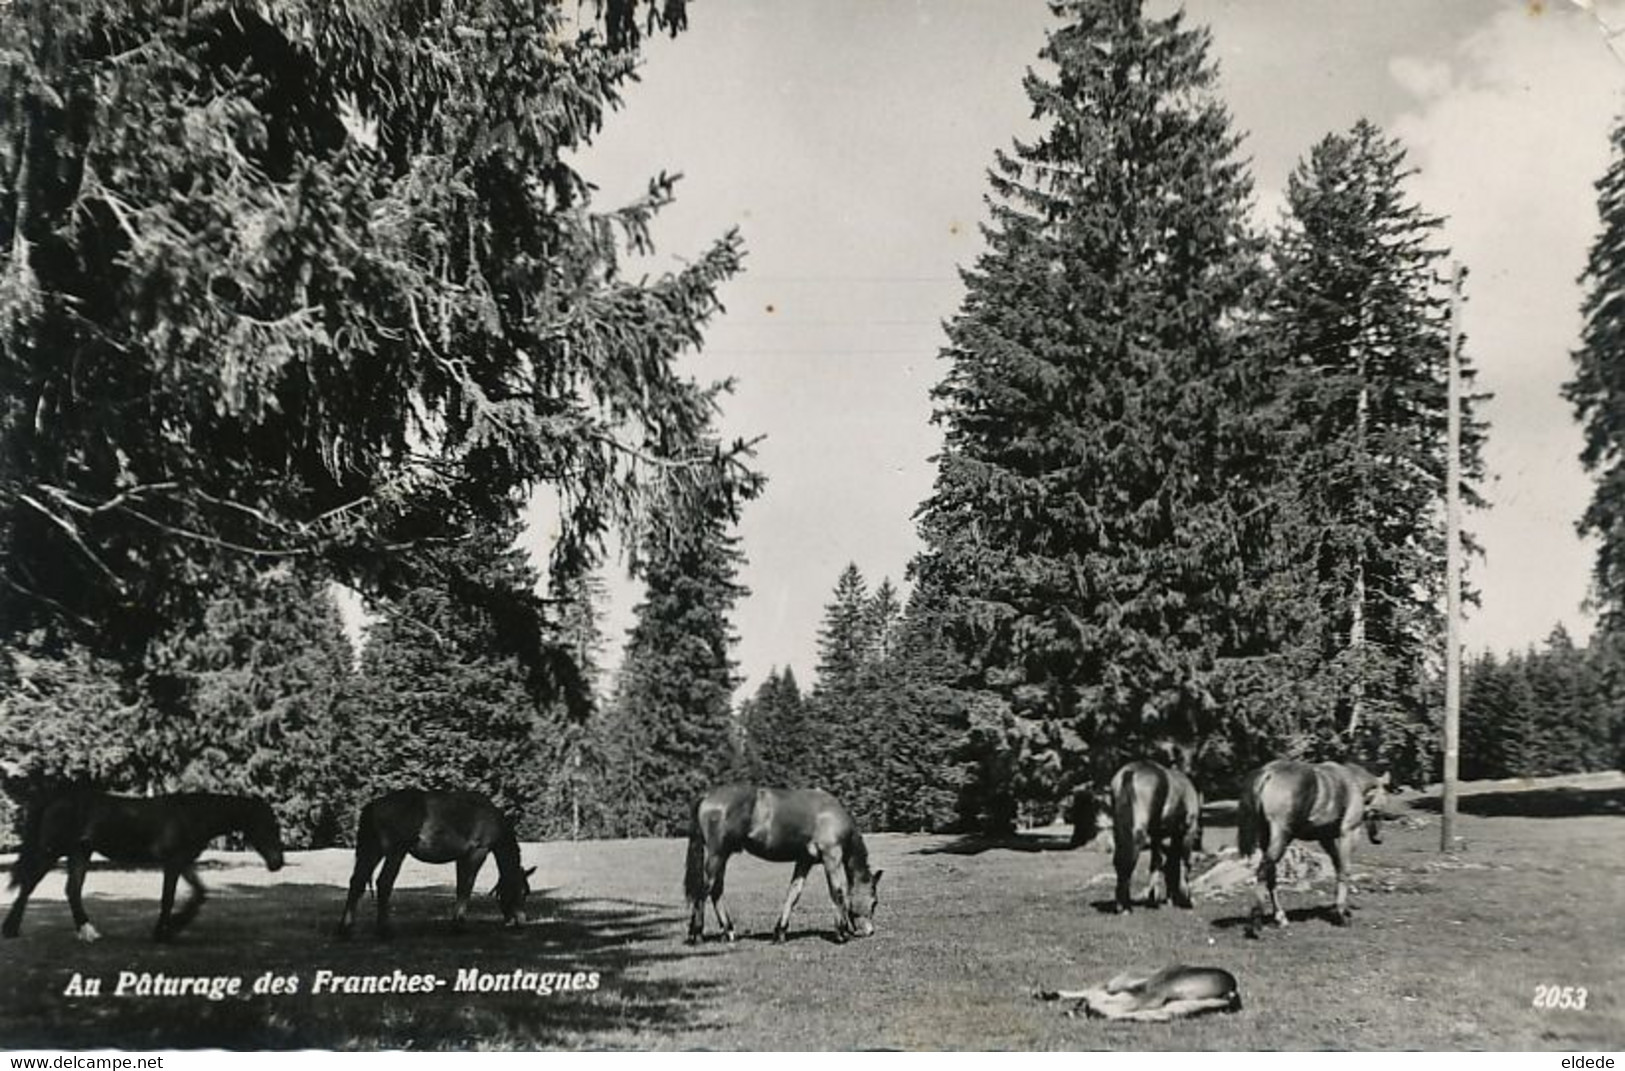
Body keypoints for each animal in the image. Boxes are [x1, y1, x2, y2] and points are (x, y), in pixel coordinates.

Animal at [2, 793, 286, 942]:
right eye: (266, 824)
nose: (278, 862)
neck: (189, 815)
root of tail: (55, 799)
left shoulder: (183, 862)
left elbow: (199, 894)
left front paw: (176, 924)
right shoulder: (173, 862)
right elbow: (168, 898)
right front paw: (163, 931)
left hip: (79, 853)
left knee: (72, 890)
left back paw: (89, 932)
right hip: (51, 852)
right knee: (29, 885)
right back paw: (11, 929)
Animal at [336, 786, 533, 936]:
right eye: (522, 892)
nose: (521, 922)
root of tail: (374, 805)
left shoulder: (462, 858)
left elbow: (461, 887)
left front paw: (456, 922)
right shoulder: (478, 852)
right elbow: (467, 887)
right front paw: (459, 924)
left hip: (373, 851)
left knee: (357, 882)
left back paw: (345, 929)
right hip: (395, 852)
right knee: (384, 883)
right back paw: (384, 930)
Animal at [685, 786, 890, 949]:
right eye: (874, 902)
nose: (869, 931)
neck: (831, 814)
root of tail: (708, 795)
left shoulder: (804, 861)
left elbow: (793, 894)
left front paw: (780, 932)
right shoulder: (831, 857)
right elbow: (838, 892)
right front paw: (842, 933)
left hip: (723, 856)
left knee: (716, 890)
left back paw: (728, 931)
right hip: (717, 855)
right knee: (704, 890)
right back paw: (697, 934)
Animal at [1235, 757, 1391, 936]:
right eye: (1379, 810)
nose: (1378, 839)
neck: (1352, 782)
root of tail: (1269, 771)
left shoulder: (1325, 838)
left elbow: (1337, 866)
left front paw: (1342, 907)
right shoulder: (1349, 833)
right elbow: (1344, 870)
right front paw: (1342, 912)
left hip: (1267, 837)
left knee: (1270, 875)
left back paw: (1280, 917)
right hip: (1282, 836)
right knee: (1263, 871)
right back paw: (1256, 923)